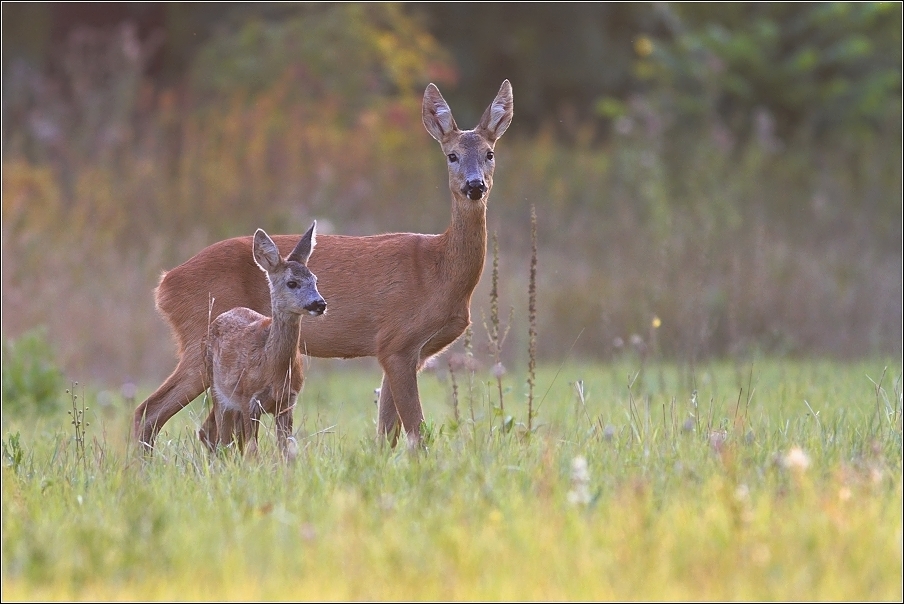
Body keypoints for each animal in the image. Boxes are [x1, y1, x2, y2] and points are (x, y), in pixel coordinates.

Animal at [202, 223, 324, 458]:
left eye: (315, 280)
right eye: (292, 283)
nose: (320, 304)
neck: (273, 368)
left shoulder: (287, 402)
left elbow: (285, 449)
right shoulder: (248, 399)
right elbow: (253, 449)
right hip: (218, 390)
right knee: (221, 437)